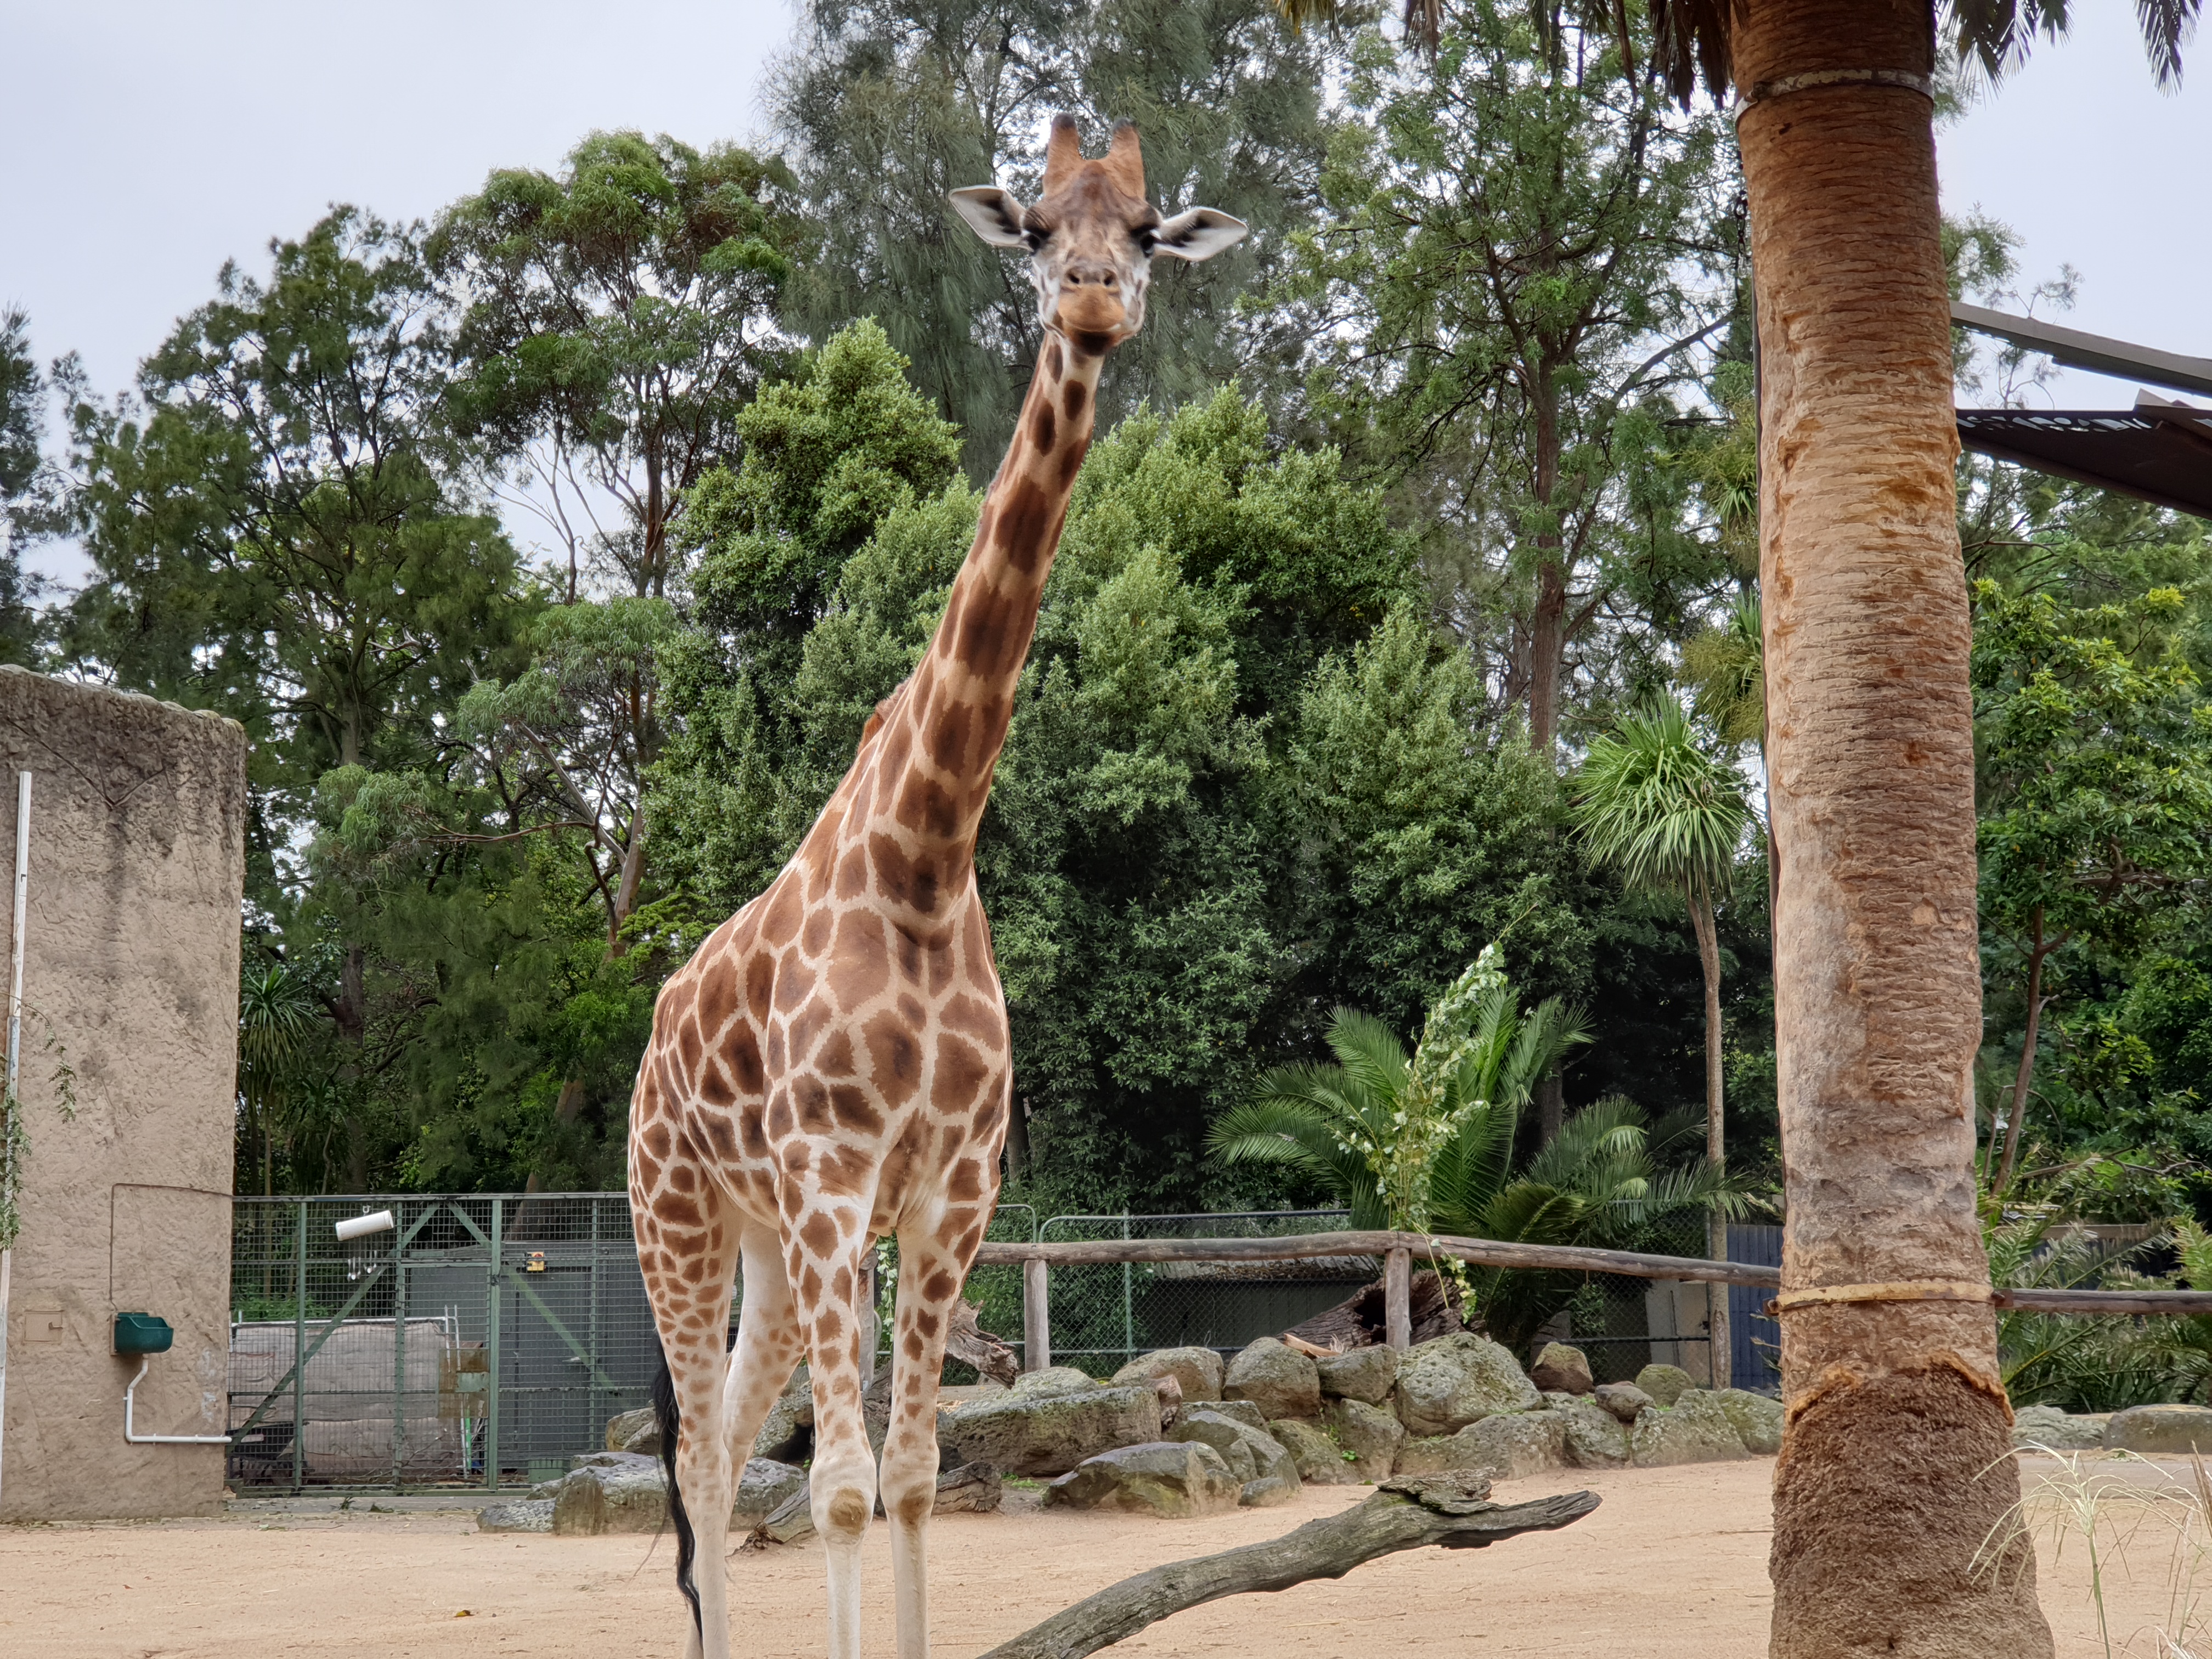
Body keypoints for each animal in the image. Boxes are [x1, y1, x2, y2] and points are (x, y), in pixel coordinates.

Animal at [628, 114, 1246, 1659]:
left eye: (1144, 230)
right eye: (1032, 227)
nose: (1092, 299)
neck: (925, 856)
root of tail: (653, 1034)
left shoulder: (949, 1193)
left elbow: (911, 1477)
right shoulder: (839, 1177)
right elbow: (842, 1489)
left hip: (767, 1245)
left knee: (731, 1439)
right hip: (680, 1214)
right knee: (695, 1458)